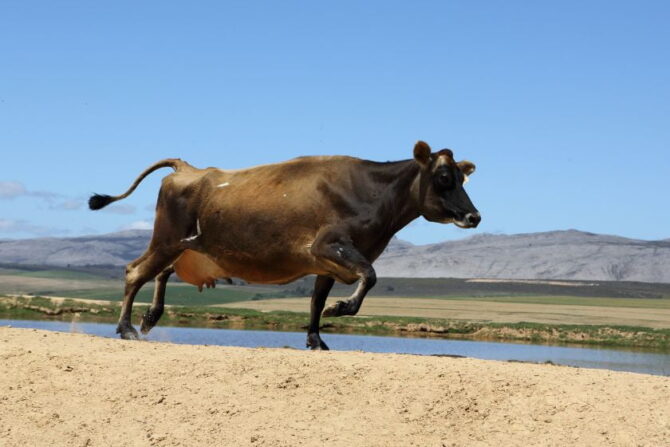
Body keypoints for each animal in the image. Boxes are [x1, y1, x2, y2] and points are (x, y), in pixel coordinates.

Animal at [89, 141, 480, 350]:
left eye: (462, 178)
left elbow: (316, 300)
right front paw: (341, 308)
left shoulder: (328, 264)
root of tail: (190, 168)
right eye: (443, 177)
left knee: (161, 272)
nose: (474, 216)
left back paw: (150, 317)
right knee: (135, 271)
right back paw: (127, 328)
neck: (373, 194)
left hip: (185, 246)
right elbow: (369, 276)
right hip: (167, 239)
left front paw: (316, 338)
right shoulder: (328, 246)